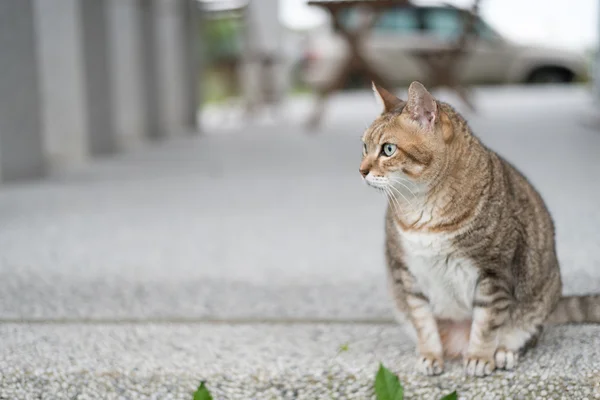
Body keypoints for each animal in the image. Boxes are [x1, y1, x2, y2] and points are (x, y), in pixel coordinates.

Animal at [360, 80, 600, 376]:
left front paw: (479, 357)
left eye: (388, 149)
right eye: (364, 146)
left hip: (540, 296)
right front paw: (430, 355)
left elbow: (486, 323)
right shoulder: (408, 273)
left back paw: (504, 352)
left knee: (526, 330)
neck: (423, 210)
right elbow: (423, 321)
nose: (361, 170)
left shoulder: (494, 273)